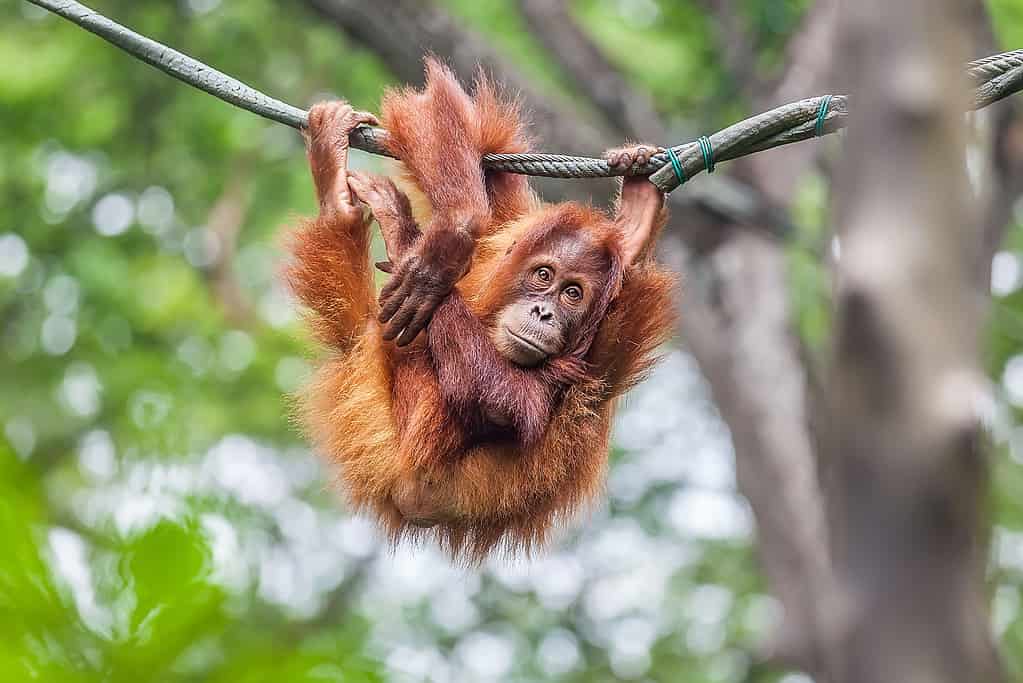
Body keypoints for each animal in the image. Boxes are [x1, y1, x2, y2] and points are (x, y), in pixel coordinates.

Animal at [286, 59, 676, 561]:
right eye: (544, 276)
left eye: (573, 294)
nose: (544, 314)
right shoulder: (512, 227)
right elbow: (445, 121)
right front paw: (451, 235)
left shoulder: (595, 354)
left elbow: (509, 403)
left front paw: (418, 246)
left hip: (381, 427)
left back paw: (353, 211)